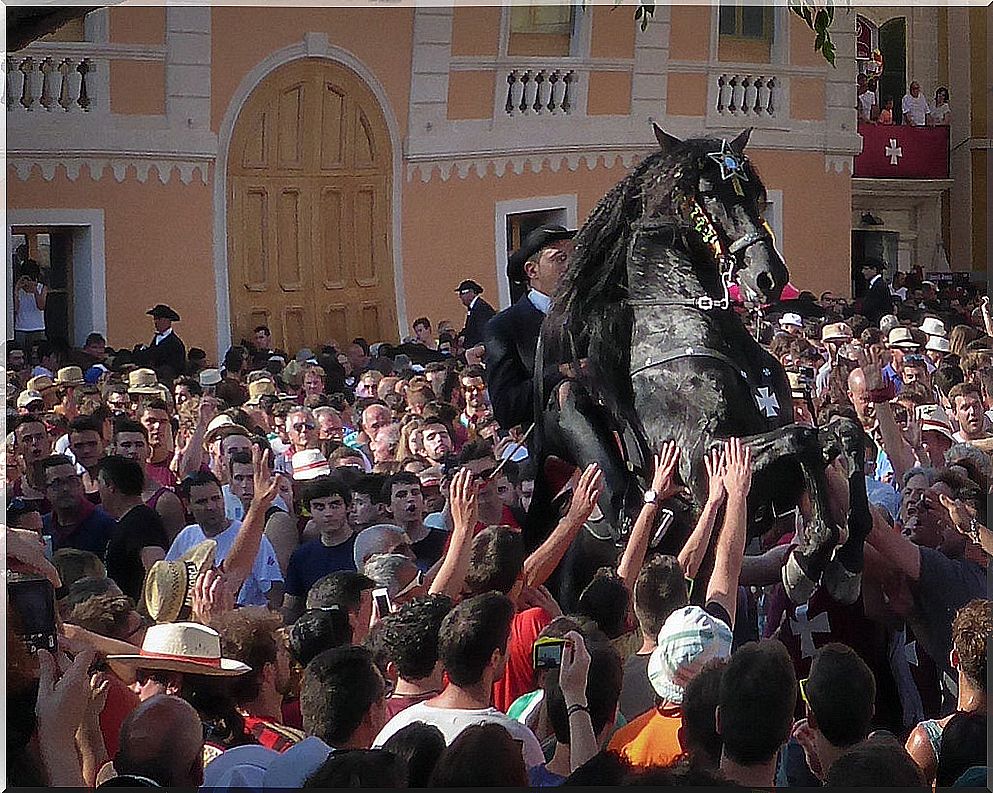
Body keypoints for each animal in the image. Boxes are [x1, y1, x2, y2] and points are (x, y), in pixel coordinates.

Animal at [528, 127, 868, 612]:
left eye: (756, 194)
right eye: (709, 194)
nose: (769, 276)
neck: (683, 324)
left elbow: (840, 433)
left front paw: (845, 561)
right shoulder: (705, 465)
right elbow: (802, 438)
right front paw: (810, 556)